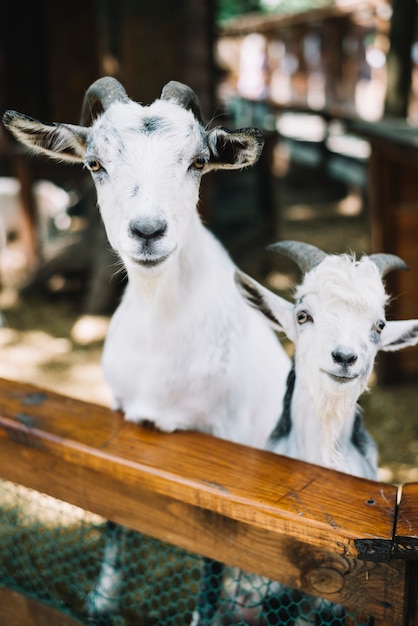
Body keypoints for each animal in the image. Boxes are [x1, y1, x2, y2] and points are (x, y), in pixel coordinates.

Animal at [3, 75, 290, 616]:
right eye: (95, 164)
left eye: (197, 161)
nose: (148, 231)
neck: (163, 332)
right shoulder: (121, 414)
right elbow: (112, 508)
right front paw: (101, 598)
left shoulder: (224, 452)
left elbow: (215, 554)